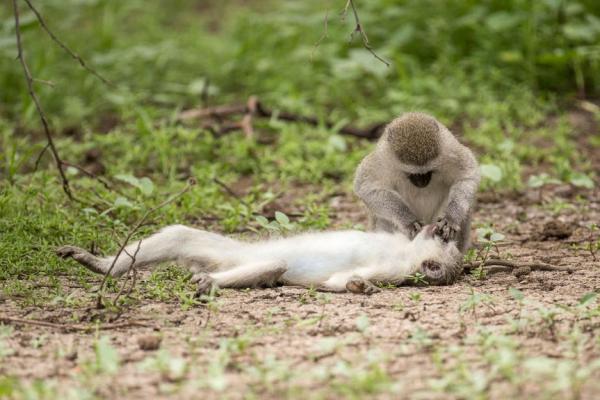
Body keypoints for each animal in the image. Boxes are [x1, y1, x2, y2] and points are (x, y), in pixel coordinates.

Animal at [356, 111, 478, 252]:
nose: (422, 182)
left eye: (429, 171)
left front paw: (451, 217)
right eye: (412, 173)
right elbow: (366, 188)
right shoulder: (380, 160)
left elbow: (467, 175)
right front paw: (409, 220)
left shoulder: (450, 150)